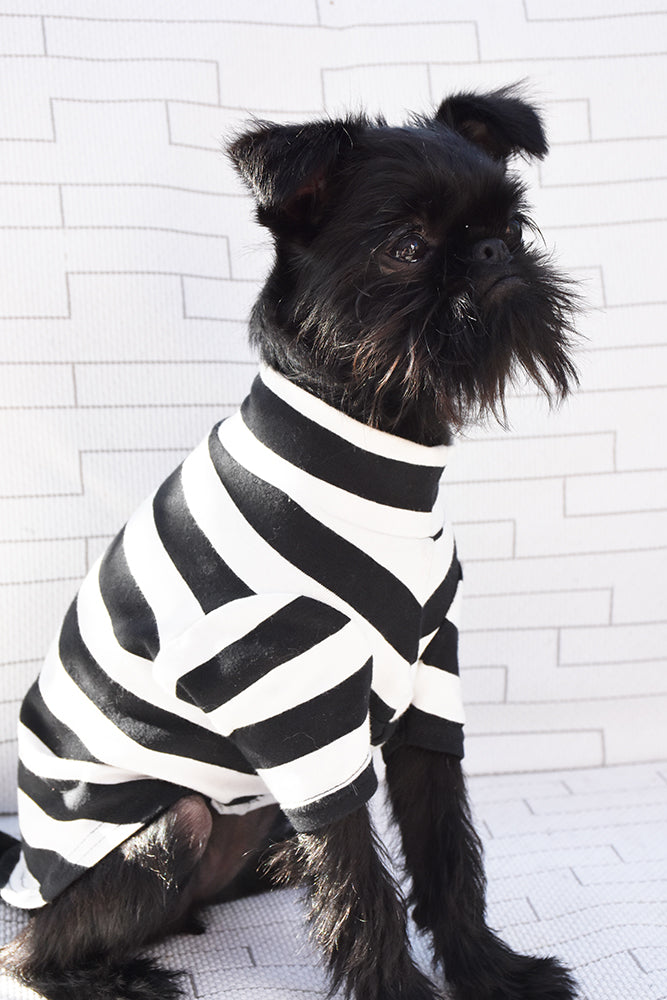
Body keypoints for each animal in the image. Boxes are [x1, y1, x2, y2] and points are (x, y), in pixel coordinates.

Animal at [1, 86, 580, 1000]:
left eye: (512, 228)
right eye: (406, 247)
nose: (491, 252)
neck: (382, 454)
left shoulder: (431, 679)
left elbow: (445, 843)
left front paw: (487, 969)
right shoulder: (294, 702)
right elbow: (358, 874)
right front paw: (401, 989)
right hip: (170, 826)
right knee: (29, 949)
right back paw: (119, 976)